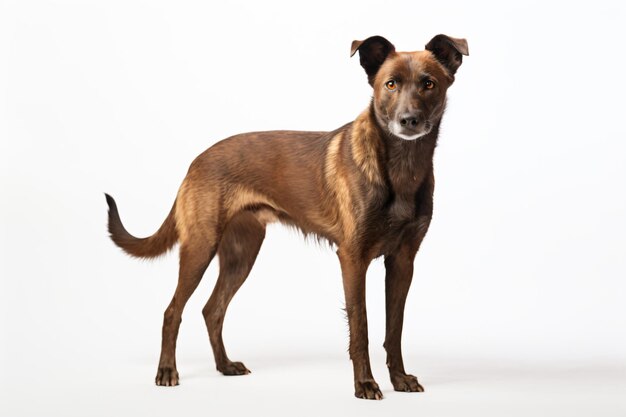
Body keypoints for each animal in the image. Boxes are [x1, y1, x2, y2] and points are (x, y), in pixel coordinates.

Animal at [106, 34, 468, 398]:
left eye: (428, 84)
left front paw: (399, 379)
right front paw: (365, 384)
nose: (408, 120)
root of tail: (196, 162)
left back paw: (225, 366)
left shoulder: (402, 261)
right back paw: (167, 371)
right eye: (390, 84)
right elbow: (361, 327)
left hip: (241, 254)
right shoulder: (353, 258)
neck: (402, 166)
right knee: (172, 311)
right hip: (200, 247)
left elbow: (394, 329)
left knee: (212, 310)